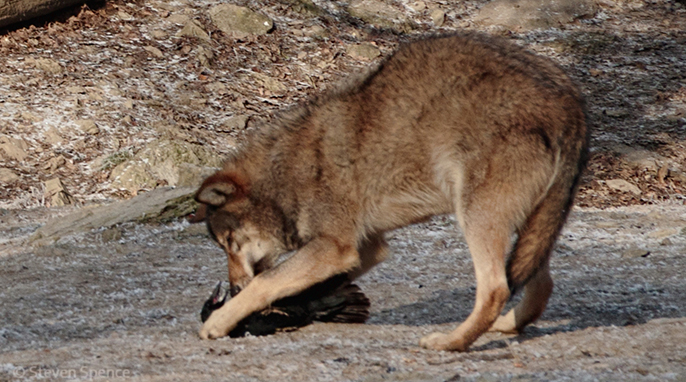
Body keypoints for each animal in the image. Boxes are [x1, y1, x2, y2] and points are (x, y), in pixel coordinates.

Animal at [195, 31, 592, 350]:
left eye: (229, 244)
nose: (232, 287)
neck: (285, 172)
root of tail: (569, 101)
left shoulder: (333, 249)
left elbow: (267, 282)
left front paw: (219, 321)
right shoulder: (365, 249)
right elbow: (293, 285)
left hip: (476, 218)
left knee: (497, 288)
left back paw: (451, 343)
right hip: (530, 227)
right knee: (540, 285)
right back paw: (505, 326)